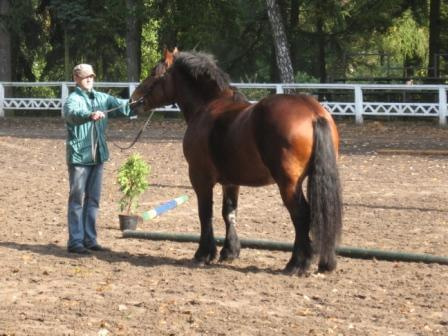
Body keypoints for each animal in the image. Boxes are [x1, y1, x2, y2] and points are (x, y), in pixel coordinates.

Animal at [131, 48, 342, 274]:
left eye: (154, 73)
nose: (133, 100)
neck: (207, 106)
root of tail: (313, 113)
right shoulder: (231, 181)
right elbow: (229, 213)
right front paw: (229, 251)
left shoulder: (199, 178)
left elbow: (205, 213)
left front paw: (204, 254)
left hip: (288, 184)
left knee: (301, 216)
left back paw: (297, 264)